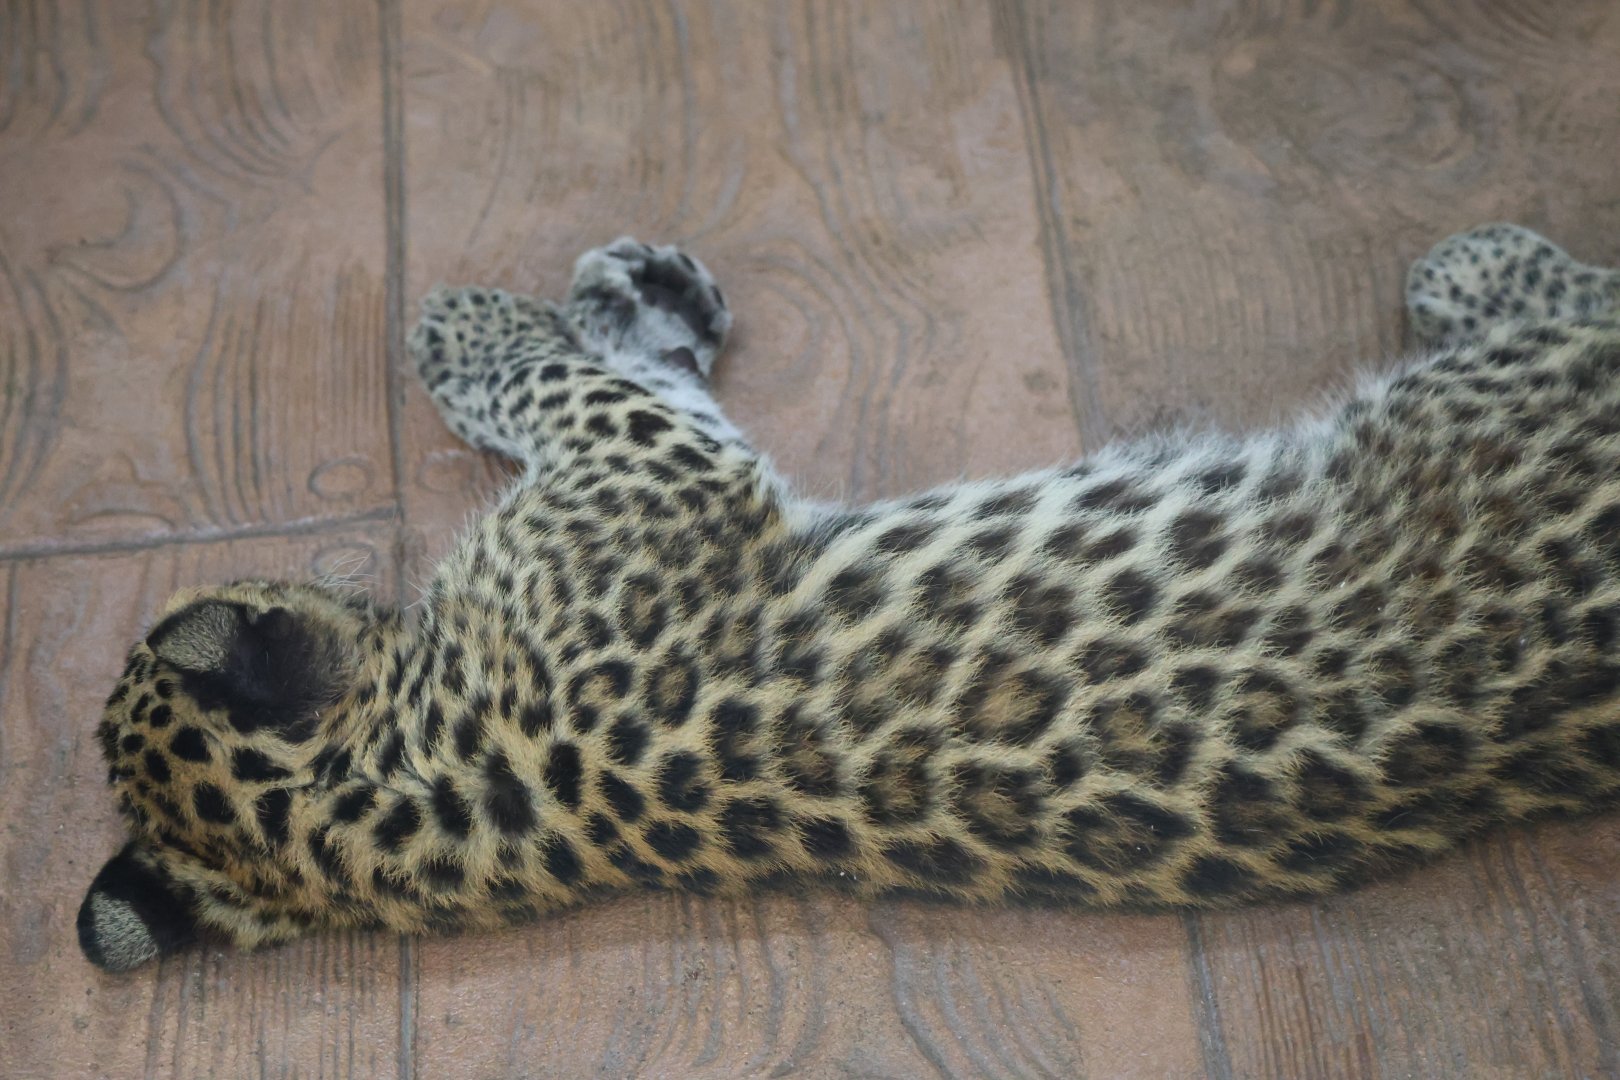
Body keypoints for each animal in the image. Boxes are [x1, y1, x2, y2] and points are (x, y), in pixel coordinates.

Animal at [77, 223, 1620, 974]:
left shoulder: (661, 469)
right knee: (1587, 302)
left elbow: (609, 368)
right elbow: (565, 381)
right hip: (1504, 385)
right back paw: (1476, 263)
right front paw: (477, 327)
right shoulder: (660, 469)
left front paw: (632, 297)